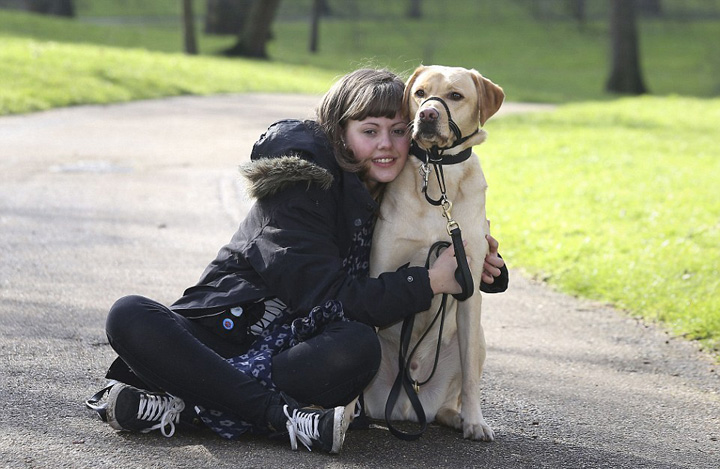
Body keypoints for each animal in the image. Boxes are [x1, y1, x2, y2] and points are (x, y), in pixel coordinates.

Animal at [362, 65, 504, 438]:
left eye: (455, 95)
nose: (427, 114)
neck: (439, 174)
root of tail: (405, 409)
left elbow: (470, 379)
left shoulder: (468, 285)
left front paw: (475, 421)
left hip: (479, 339)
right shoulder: (378, 270)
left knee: (453, 393)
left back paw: (456, 416)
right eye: (420, 93)